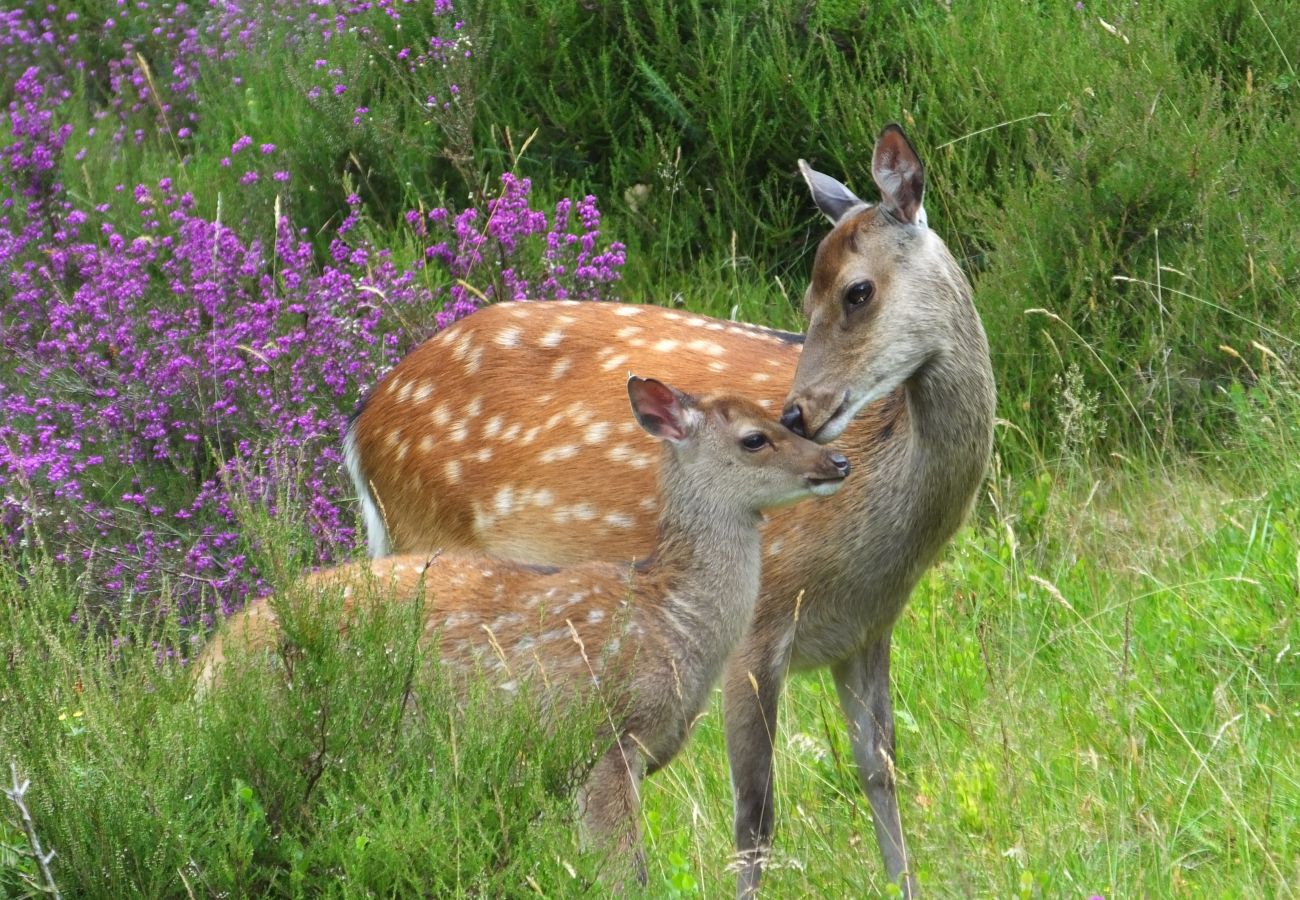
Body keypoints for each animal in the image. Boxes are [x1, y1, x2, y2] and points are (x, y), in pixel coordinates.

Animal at [197, 377, 847, 884]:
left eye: (785, 417)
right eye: (755, 438)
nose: (836, 463)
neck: (671, 619)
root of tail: (206, 666)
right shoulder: (604, 739)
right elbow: (626, 875)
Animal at [340, 122, 987, 894]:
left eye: (857, 291)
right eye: (806, 299)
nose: (799, 413)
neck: (881, 547)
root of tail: (360, 427)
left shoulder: (866, 631)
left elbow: (880, 772)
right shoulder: (761, 623)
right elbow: (755, 815)